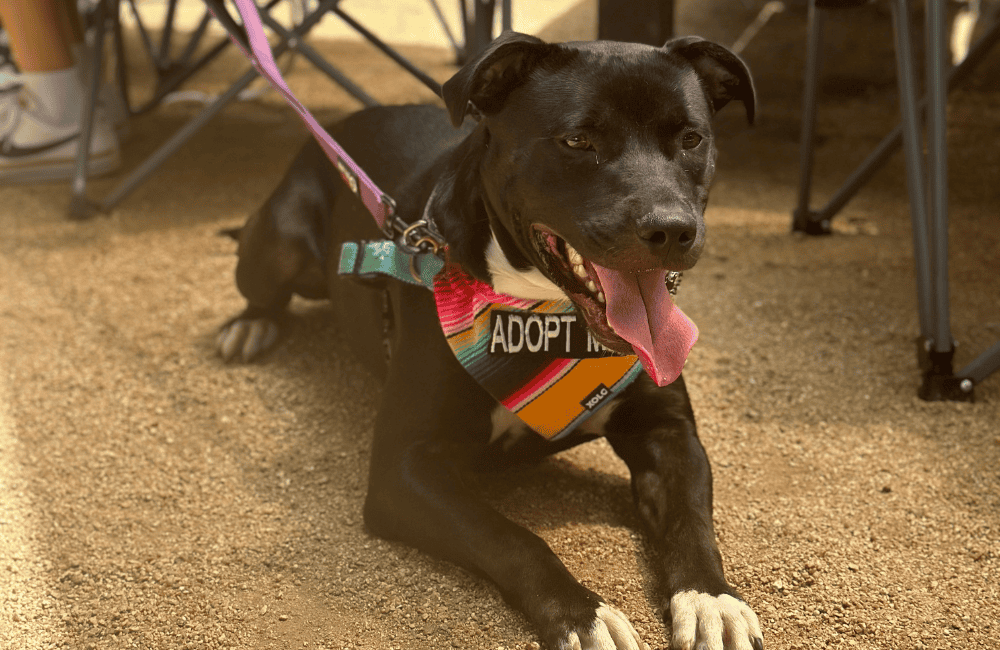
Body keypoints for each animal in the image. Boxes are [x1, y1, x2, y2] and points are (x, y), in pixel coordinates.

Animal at [221, 33, 756, 648]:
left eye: (692, 139)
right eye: (578, 140)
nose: (671, 229)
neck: (541, 312)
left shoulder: (668, 433)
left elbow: (692, 522)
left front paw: (712, 599)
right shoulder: (405, 467)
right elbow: (510, 536)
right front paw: (582, 614)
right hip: (277, 246)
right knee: (266, 285)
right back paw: (249, 324)